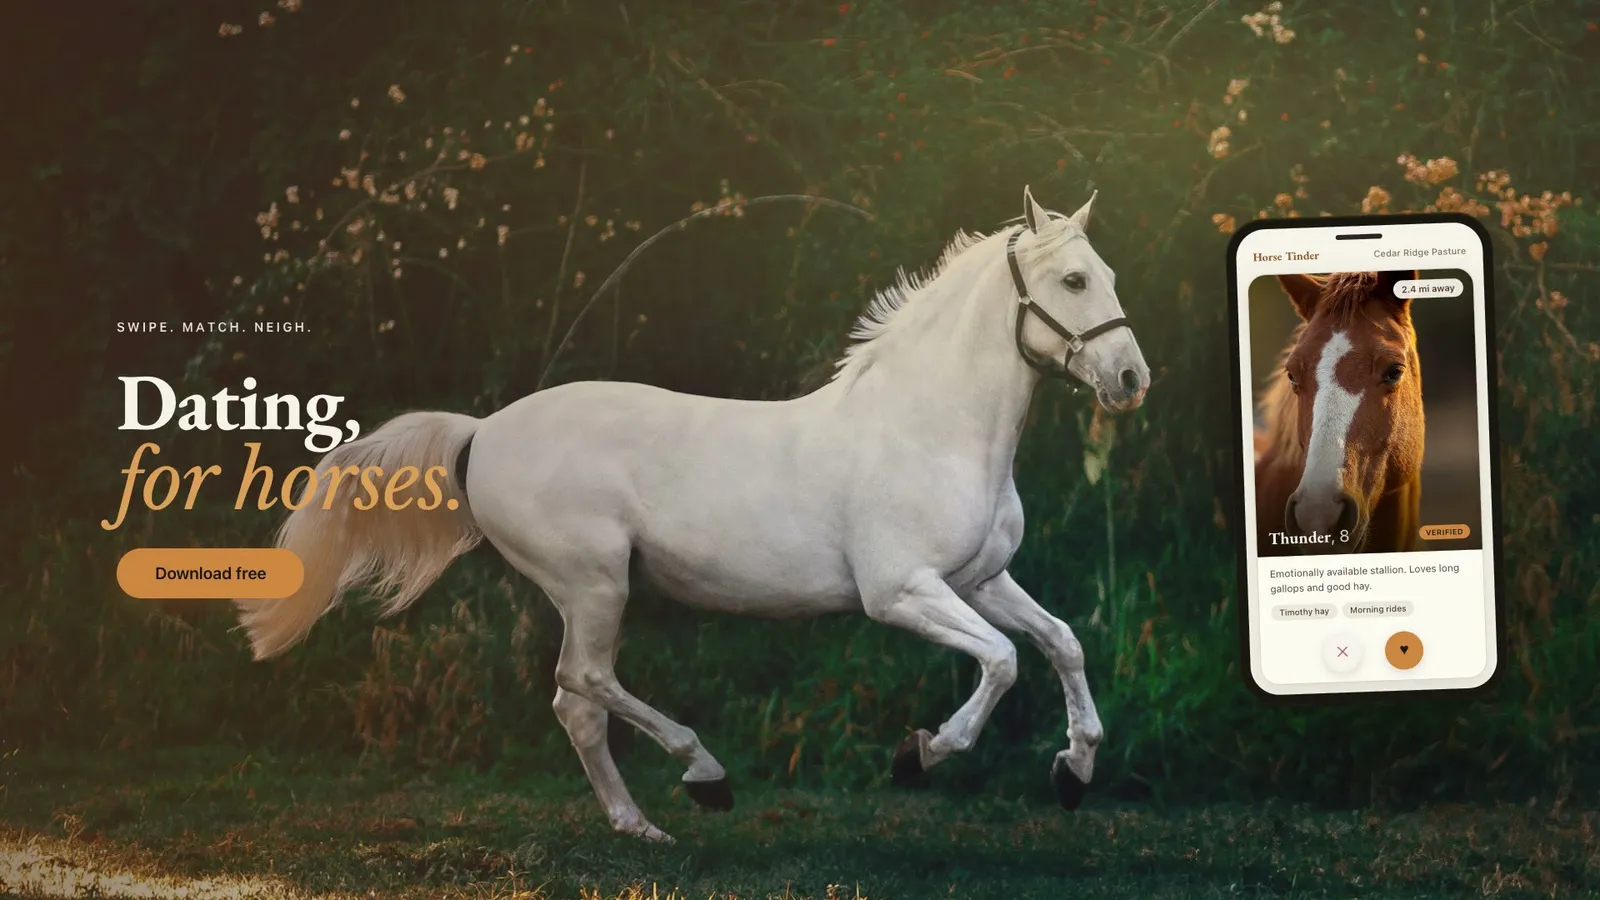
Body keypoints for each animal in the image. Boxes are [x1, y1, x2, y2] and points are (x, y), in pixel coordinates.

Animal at [234, 186, 1150, 841]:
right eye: (1074, 280)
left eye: (1110, 275)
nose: (1131, 380)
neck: (931, 427)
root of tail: (482, 431)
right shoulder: (901, 592)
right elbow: (1002, 661)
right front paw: (919, 754)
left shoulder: (981, 579)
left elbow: (1060, 643)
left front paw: (1074, 771)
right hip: (594, 583)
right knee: (585, 683)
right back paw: (703, 776)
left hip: (596, 592)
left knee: (576, 703)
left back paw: (640, 826)